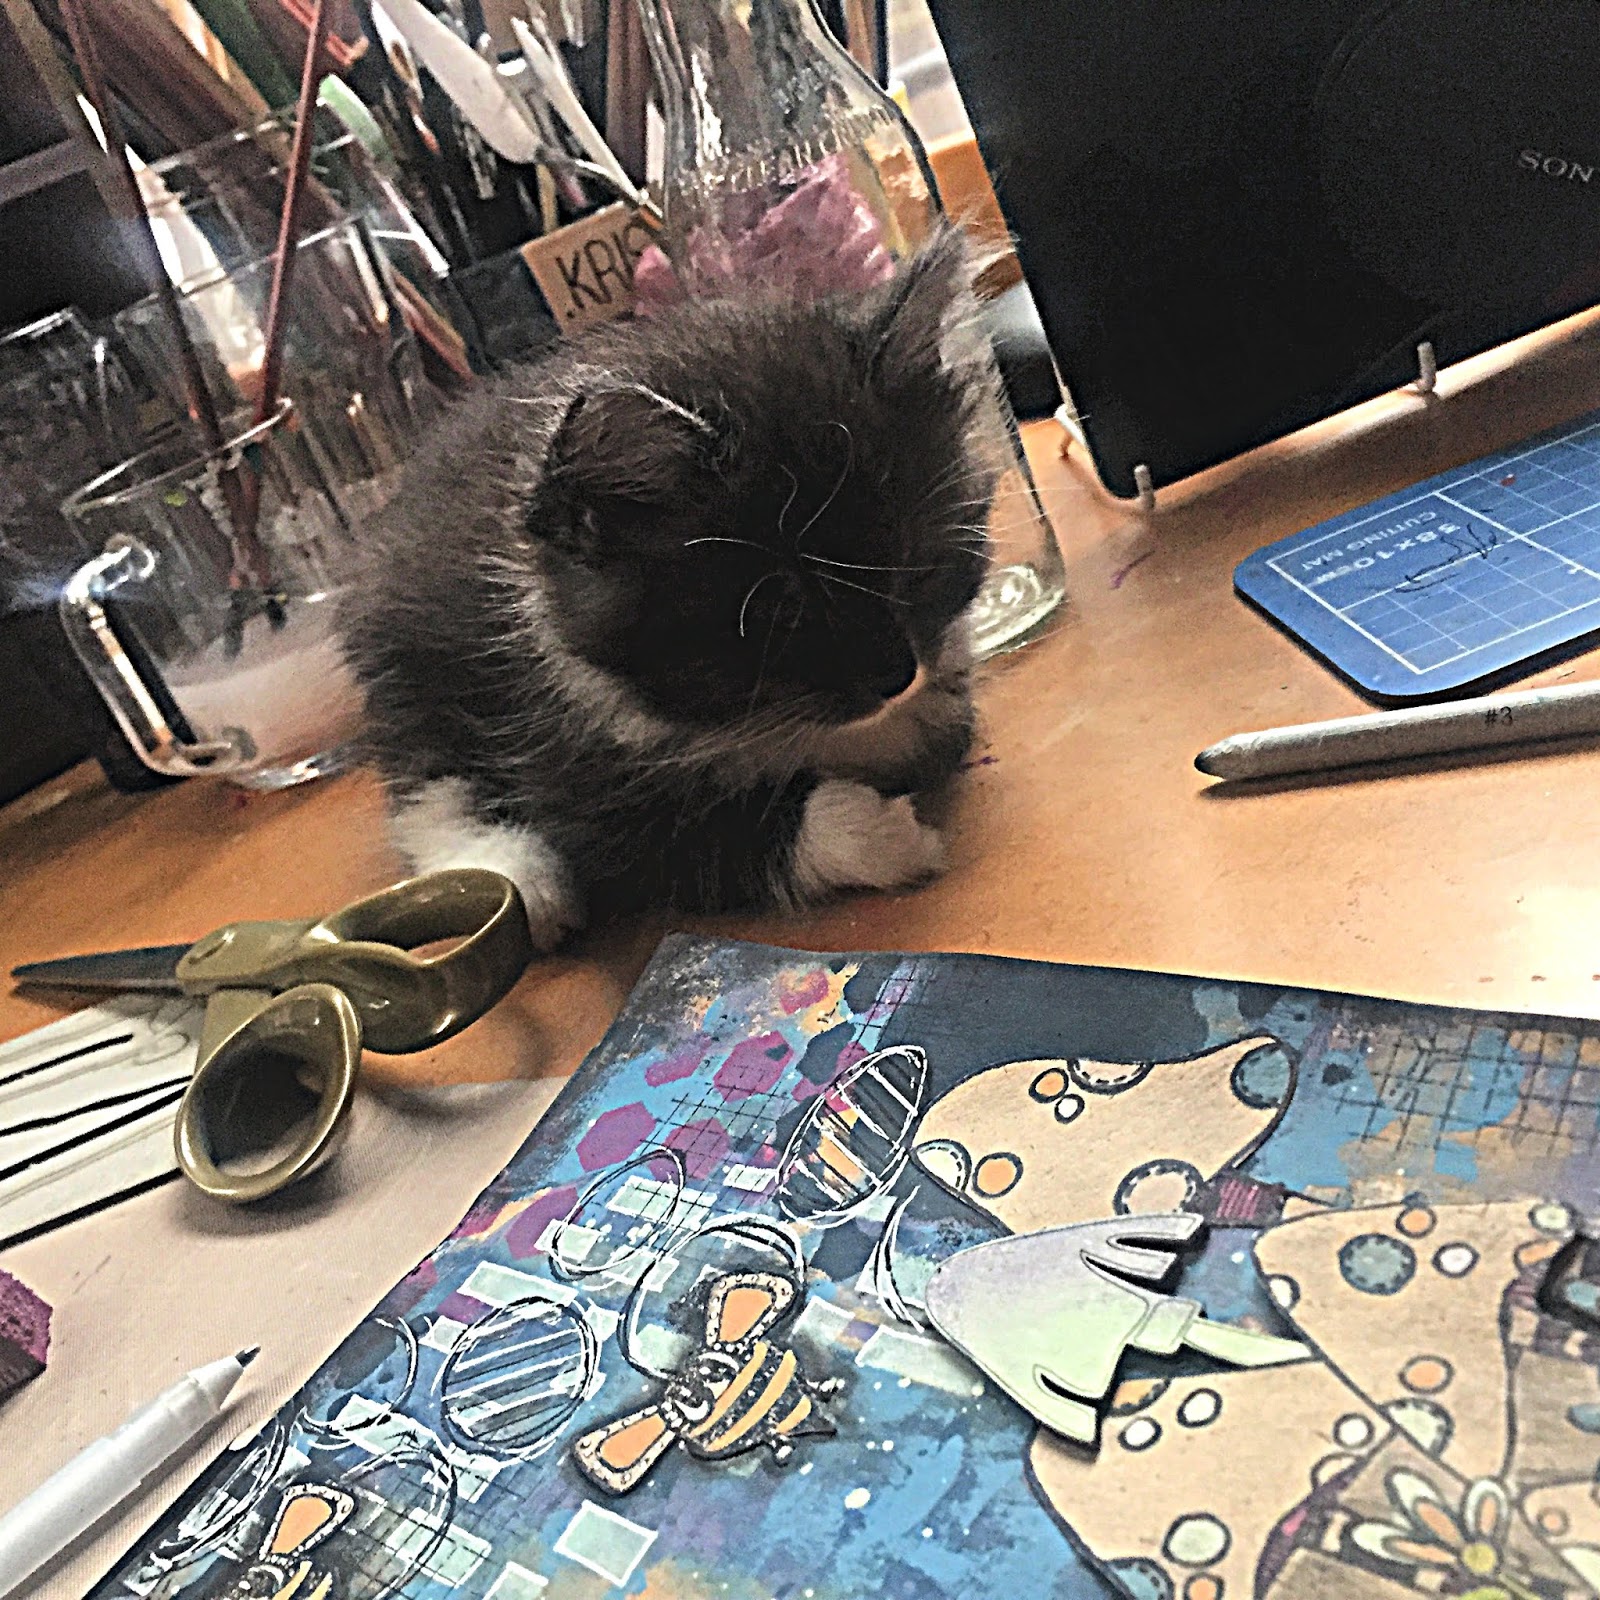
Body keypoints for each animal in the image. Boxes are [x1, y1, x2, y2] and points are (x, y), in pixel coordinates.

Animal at [338, 224, 1000, 948]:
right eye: (781, 608)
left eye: (911, 563)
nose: (896, 674)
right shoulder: (556, 755)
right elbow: (689, 839)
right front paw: (882, 835)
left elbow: (942, 728)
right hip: (403, 660)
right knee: (424, 784)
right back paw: (518, 877)